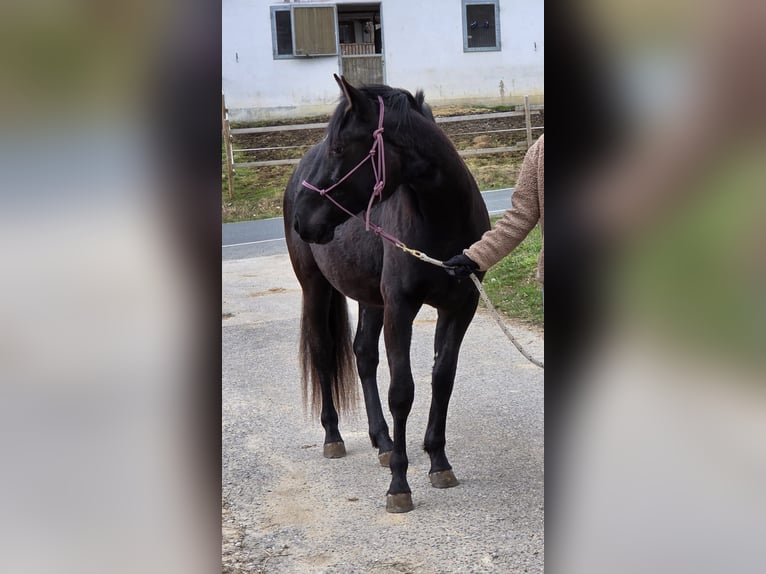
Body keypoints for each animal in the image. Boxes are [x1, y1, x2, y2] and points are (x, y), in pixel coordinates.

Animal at [283, 75, 490, 513]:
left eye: (340, 148)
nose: (303, 221)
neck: (441, 222)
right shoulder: (400, 308)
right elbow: (402, 391)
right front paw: (400, 484)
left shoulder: (459, 309)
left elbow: (442, 379)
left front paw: (438, 462)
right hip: (315, 287)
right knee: (323, 350)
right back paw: (334, 437)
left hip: (369, 299)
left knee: (363, 353)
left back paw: (382, 440)